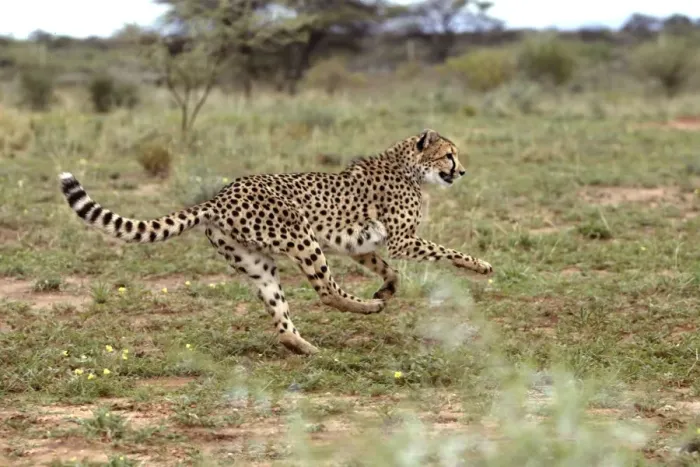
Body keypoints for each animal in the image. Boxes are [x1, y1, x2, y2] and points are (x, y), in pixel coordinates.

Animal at [58, 128, 493, 355]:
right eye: (449, 155)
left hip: (257, 263)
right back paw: (364, 309)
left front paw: (387, 289)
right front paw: (480, 266)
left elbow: (391, 270)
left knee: (282, 316)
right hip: (302, 237)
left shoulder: (363, 246)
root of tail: (220, 195)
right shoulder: (403, 240)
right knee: (326, 291)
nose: (463, 171)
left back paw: (306, 345)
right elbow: (445, 252)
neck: (408, 166)